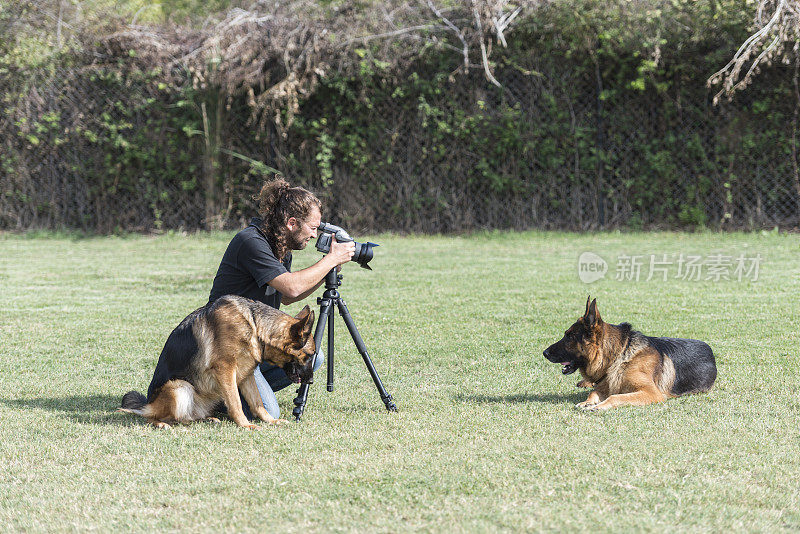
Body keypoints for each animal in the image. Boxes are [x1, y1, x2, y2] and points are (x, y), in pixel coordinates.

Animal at [119, 296, 316, 430]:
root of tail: (148, 404)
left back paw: (207, 419)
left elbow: (257, 402)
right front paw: (245, 425)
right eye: (310, 355)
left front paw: (271, 421)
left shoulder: (246, 374)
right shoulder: (226, 369)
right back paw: (160, 423)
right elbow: (236, 403)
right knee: (155, 417)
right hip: (179, 388)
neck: (255, 326)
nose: (311, 381)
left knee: (186, 417)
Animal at [544, 300, 720, 412]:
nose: (544, 353)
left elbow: (615, 397)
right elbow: (593, 393)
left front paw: (598, 406)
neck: (619, 356)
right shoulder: (606, 386)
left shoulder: (651, 393)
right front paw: (587, 402)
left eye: (569, 337)